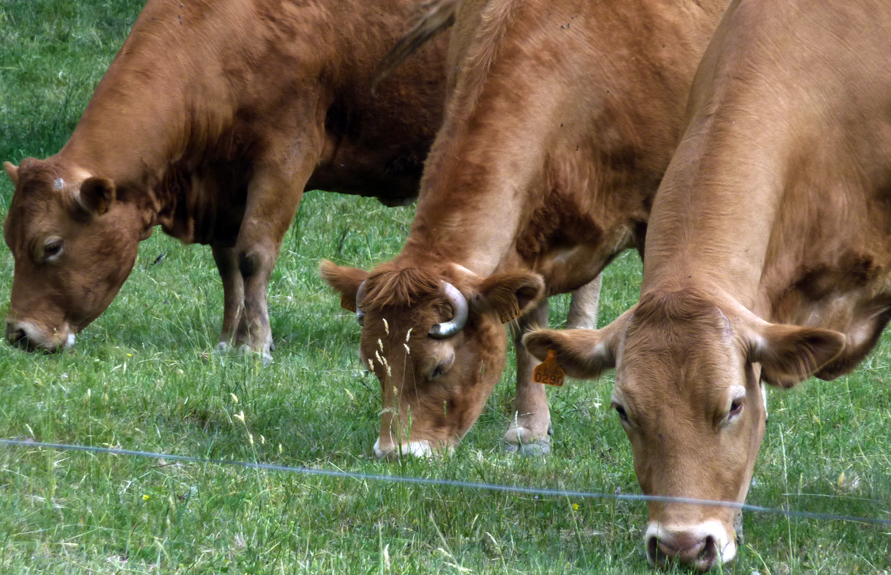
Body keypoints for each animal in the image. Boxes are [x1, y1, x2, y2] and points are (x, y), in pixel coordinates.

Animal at [1, 0, 452, 360]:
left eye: (51, 246)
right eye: (10, 241)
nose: (19, 334)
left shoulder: (286, 156)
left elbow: (254, 254)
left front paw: (255, 345)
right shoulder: (225, 185)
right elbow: (229, 263)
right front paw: (228, 340)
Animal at [320, 0, 724, 460]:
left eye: (439, 366)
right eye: (372, 364)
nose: (395, 453)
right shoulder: (529, 242)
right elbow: (528, 333)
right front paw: (530, 428)